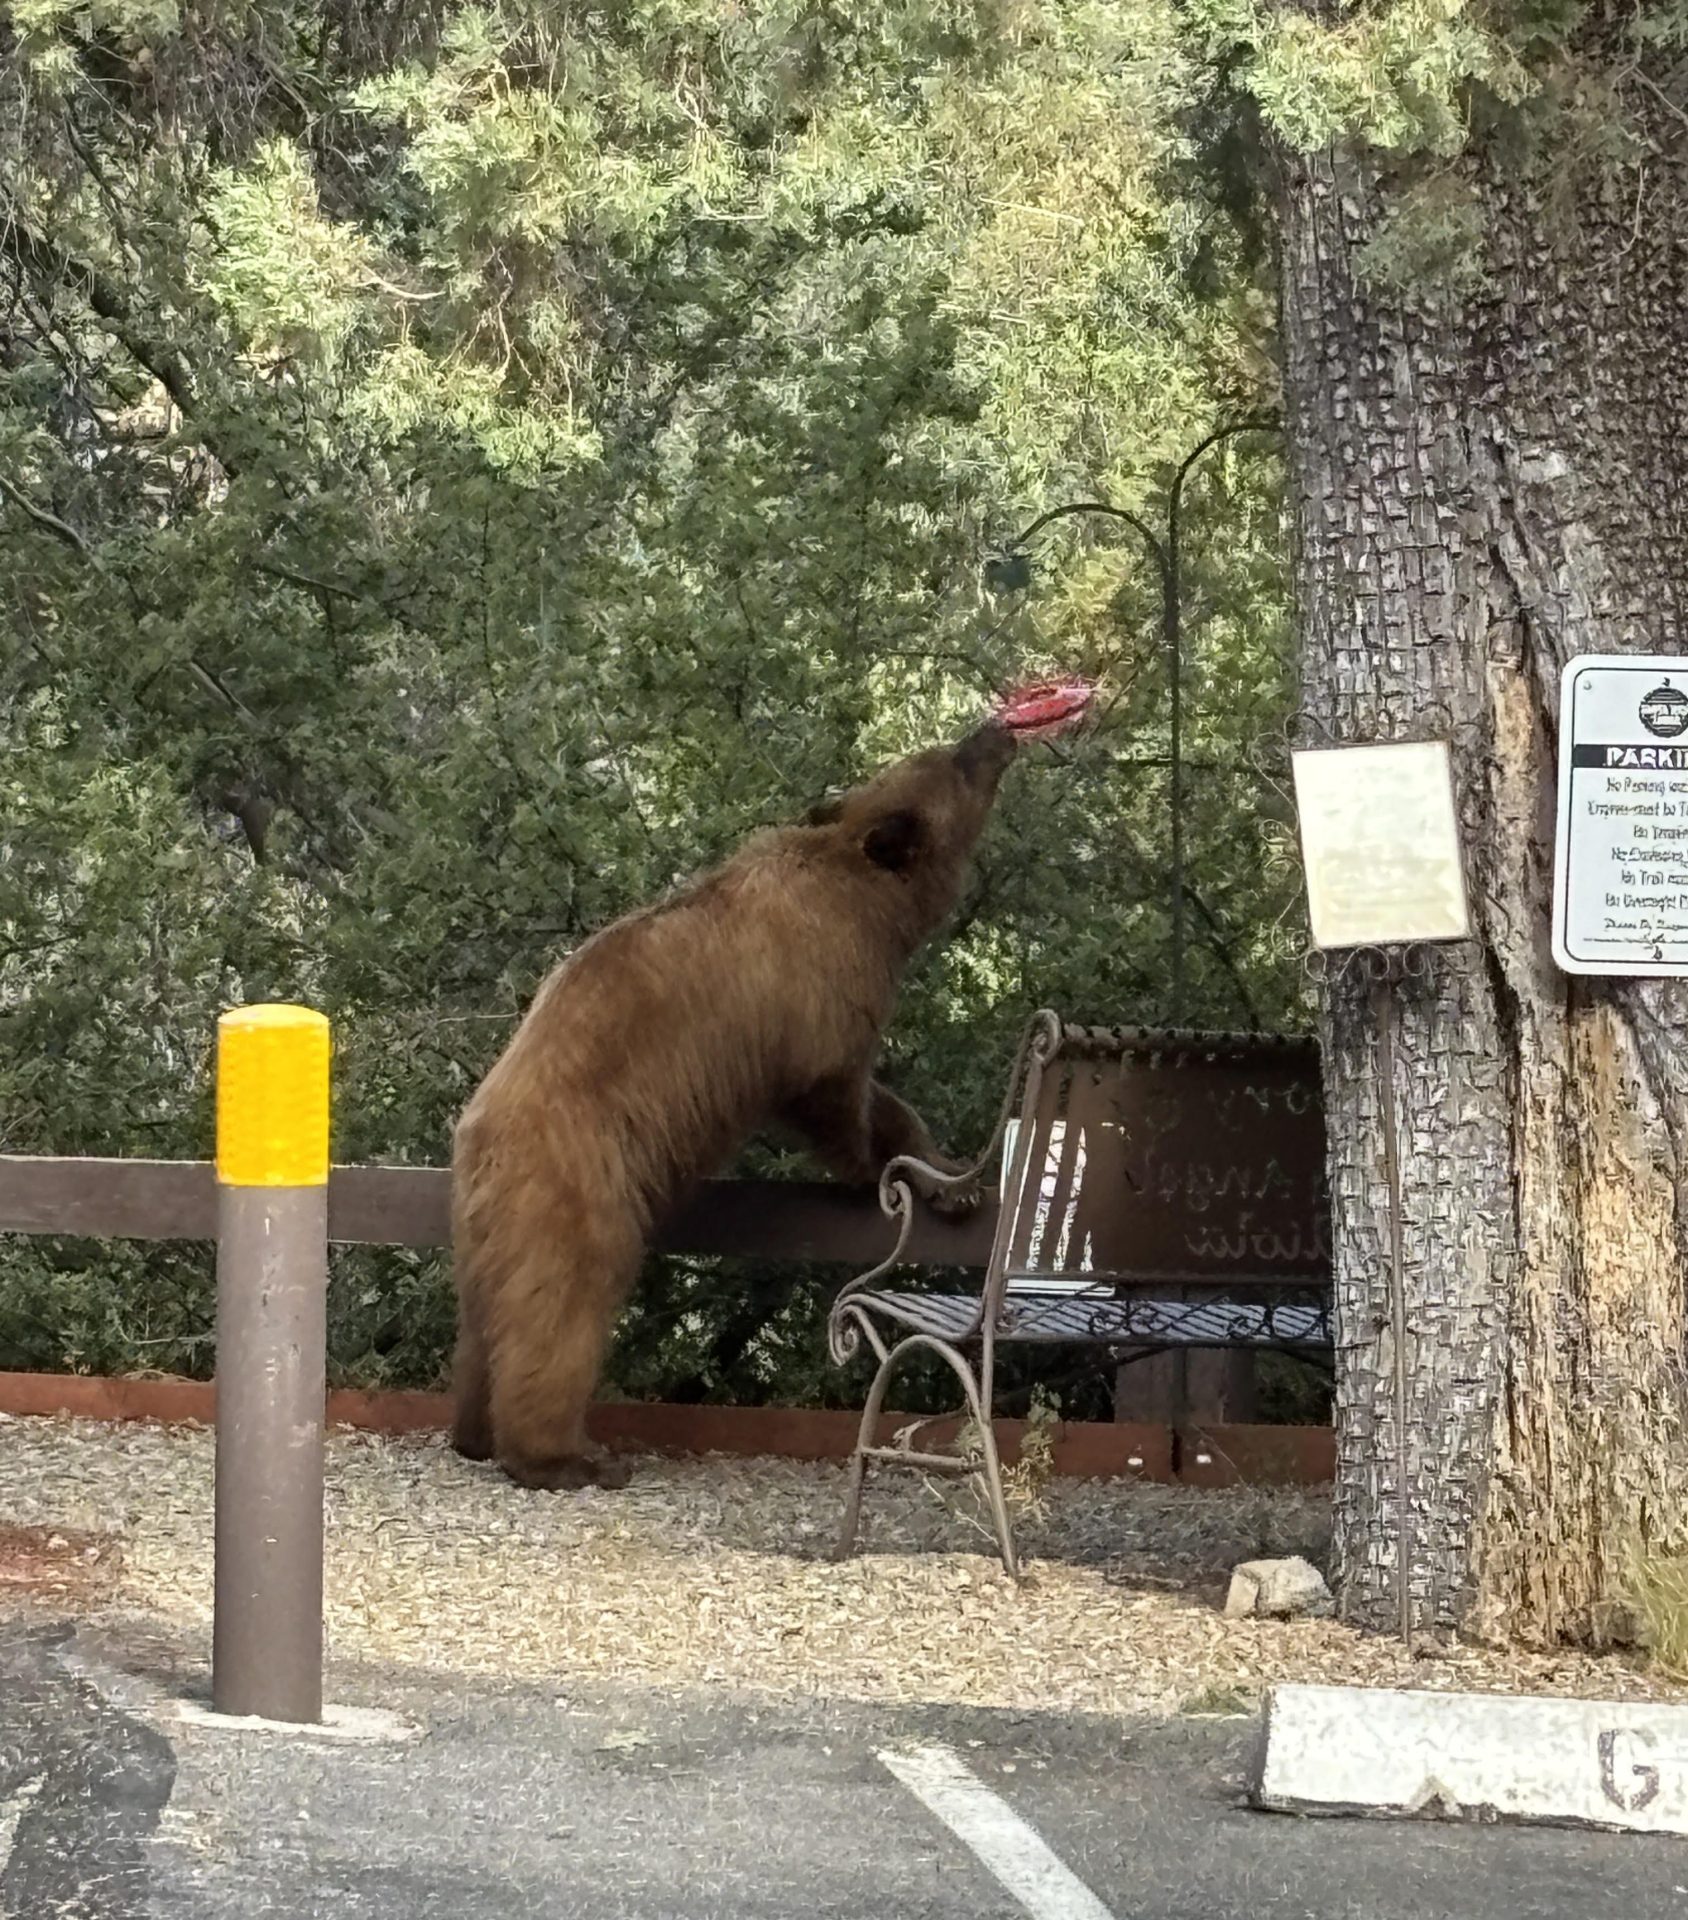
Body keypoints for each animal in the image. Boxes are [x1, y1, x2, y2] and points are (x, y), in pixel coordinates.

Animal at [449, 716, 1024, 1491]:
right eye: (955, 761)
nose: (998, 729)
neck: (873, 902)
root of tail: (480, 1132)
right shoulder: (821, 984)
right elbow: (832, 1090)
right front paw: (877, 1174)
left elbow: (885, 1103)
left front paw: (945, 1176)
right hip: (578, 1179)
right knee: (561, 1303)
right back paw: (563, 1456)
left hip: (488, 1220)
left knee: (490, 1314)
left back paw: (474, 1432)